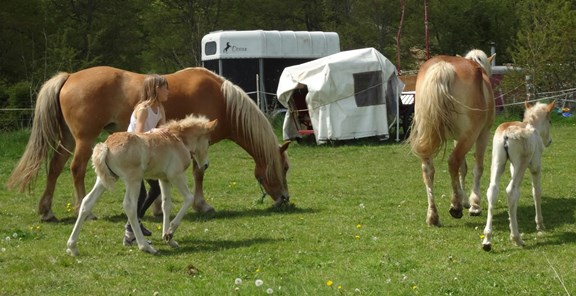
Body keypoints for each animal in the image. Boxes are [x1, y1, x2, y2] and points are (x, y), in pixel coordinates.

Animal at [6, 66, 290, 221]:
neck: (221, 98)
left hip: (66, 138)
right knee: (76, 170)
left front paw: (156, 208)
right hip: (84, 140)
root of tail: (70, 76)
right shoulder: (200, 144)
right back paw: (82, 210)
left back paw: (47, 211)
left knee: (55, 168)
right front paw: (202, 205)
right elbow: (199, 172)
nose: (285, 199)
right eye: (284, 168)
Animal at [66, 114, 218, 256]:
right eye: (209, 141)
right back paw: (145, 246)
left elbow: (166, 205)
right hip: (134, 180)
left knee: (87, 202)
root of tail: (106, 146)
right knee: (130, 206)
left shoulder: (164, 179)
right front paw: (170, 232)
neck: (178, 139)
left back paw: (72, 247)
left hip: (104, 180)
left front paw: (168, 238)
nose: (206, 165)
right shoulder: (176, 176)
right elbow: (189, 198)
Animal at [410, 49, 496, 227]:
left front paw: (465, 200)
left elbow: (463, 168)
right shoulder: (482, 134)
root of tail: (443, 67)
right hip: (471, 136)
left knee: (428, 170)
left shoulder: (459, 138)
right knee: (453, 161)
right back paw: (455, 206)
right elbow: (477, 167)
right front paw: (474, 204)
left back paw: (433, 216)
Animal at [482, 100, 560, 251]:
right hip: (521, 164)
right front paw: (540, 225)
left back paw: (487, 240)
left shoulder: (512, 167)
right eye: (550, 121)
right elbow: (536, 192)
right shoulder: (535, 166)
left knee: (493, 190)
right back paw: (516, 238)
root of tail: (507, 133)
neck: (533, 127)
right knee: (512, 191)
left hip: (498, 162)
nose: (549, 141)